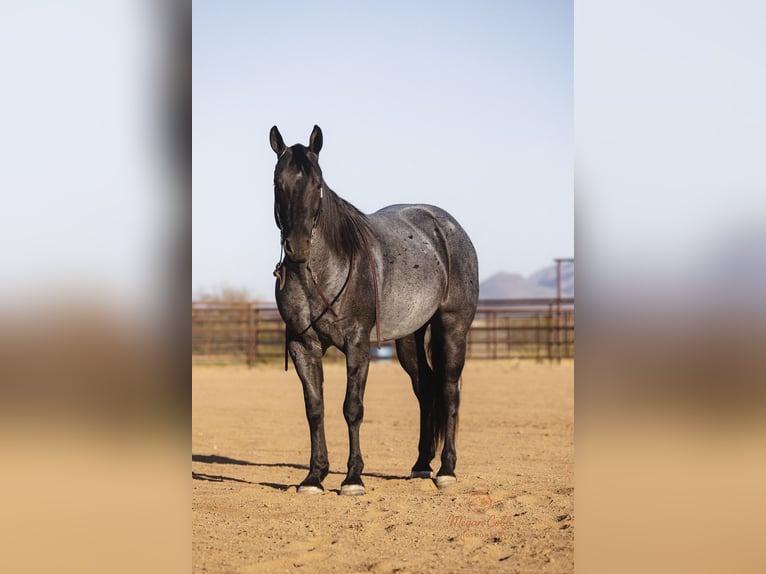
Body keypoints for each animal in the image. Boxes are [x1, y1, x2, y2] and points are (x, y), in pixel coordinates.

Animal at [269, 125, 479, 495]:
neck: (323, 270)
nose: (297, 247)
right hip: (409, 339)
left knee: (449, 390)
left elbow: (352, 408)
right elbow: (315, 408)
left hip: (452, 328)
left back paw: (446, 470)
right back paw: (422, 464)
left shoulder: (357, 343)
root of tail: (448, 228)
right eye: (278, 183)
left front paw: (353, 478)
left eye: (318, 184)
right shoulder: (302, 346)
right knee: (426, 389)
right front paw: (314, 477)